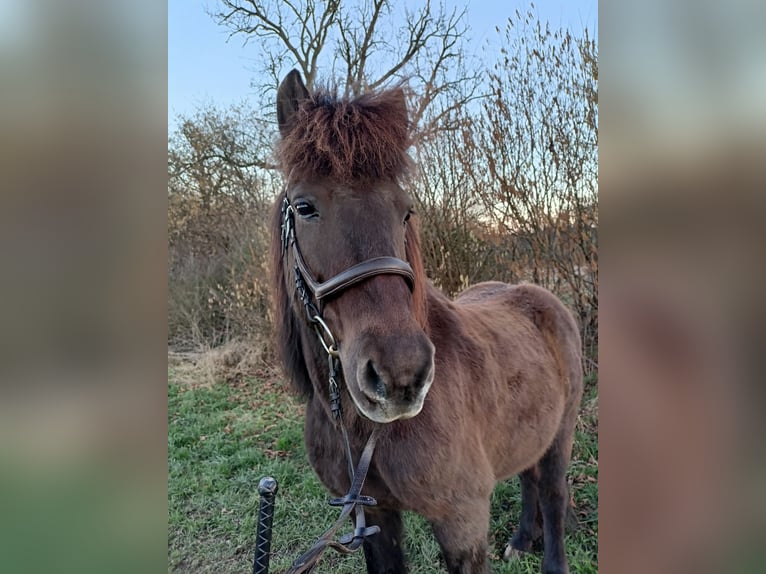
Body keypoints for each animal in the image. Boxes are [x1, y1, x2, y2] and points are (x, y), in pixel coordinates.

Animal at [270, 68, 584, 574]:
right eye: (304, 207)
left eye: (406, 211)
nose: (401, 376)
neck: (366, 432)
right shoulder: (376, 519)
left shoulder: (461, 523)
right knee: (528, 476)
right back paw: (521, 539)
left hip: (561, 432)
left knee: (553, 493)